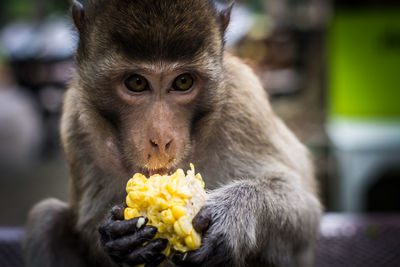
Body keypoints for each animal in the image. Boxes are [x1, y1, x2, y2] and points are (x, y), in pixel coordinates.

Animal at [24, 0, 322, 267]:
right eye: (136, 82)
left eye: (183, 81)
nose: (161, 140)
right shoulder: (76, 120)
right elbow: (87, 226)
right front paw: (115, 238)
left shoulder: (244, 100)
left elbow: (304, 212)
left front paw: (233, 212)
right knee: (46, 218)